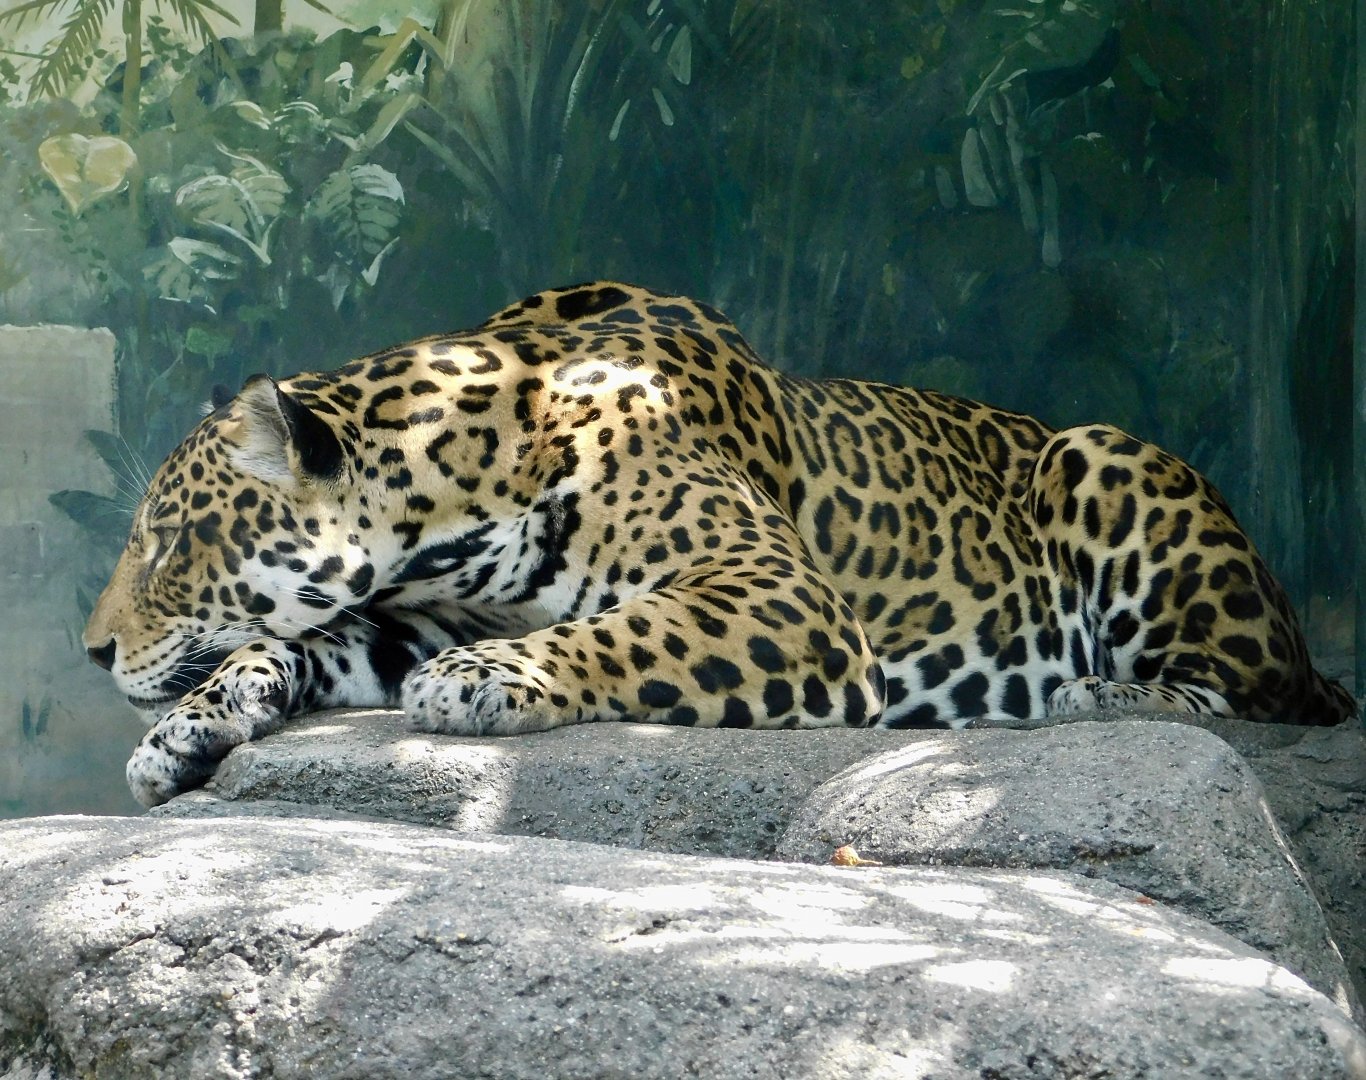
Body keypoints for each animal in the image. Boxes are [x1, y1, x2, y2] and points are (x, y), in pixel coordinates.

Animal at [83, 282, 1357, 807]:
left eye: (164, 542)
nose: (92, 652)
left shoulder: (775, 591)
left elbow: (624, 630)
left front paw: (489, 680)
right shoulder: (411, 610)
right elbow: (300, 642)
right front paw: (189, 730)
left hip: (1101, 460)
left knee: (1260, 696)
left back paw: (1092, 697)